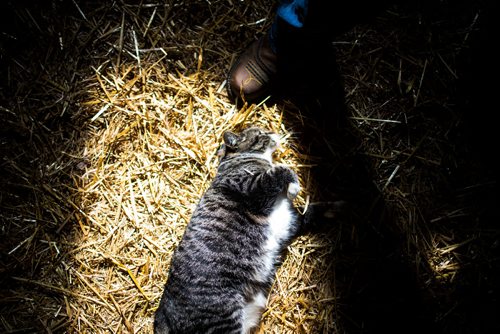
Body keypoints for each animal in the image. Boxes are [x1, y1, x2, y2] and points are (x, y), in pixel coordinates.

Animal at [155, 126, 336, 332]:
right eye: (261, 133)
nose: (273, 132)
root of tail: (161, 316)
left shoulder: (293, 221)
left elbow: (314, 211)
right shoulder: (252, 187)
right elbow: (282, 168)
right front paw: (294, 187)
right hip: (223, 318)